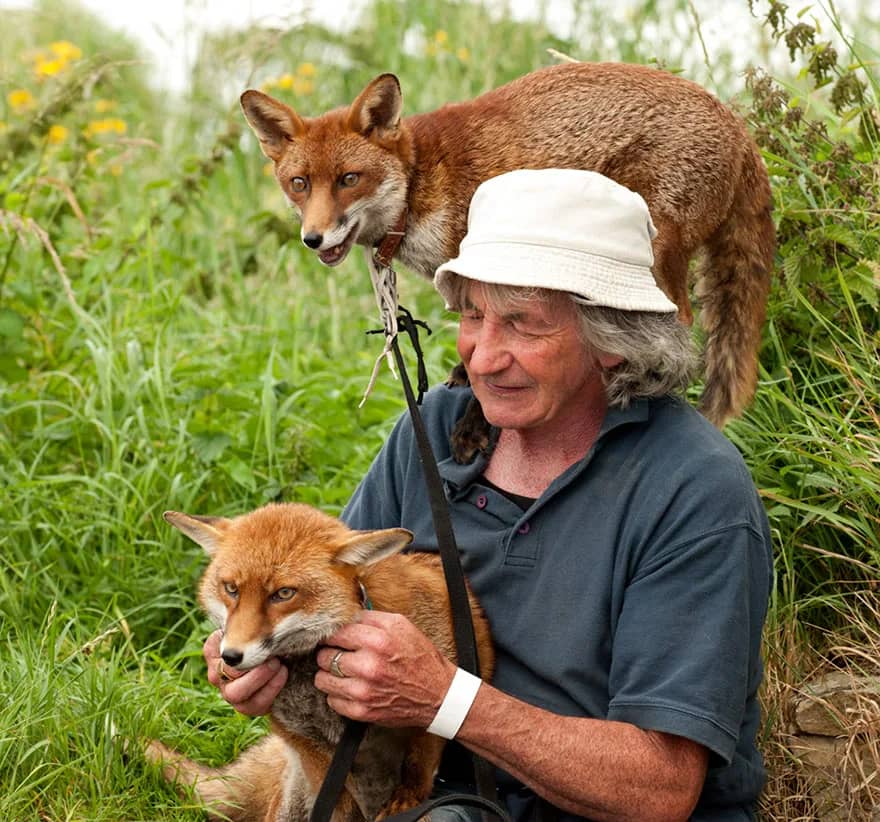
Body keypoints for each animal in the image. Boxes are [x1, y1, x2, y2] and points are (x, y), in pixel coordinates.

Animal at [145, 502, 494, 822]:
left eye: (284, 593)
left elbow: (419, 764)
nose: (229, 657)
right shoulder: (303, 740)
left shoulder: (436, 697)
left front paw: (406, 803)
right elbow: (334, 805)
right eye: (231, 589)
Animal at [240, 61, 775, 456]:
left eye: (349, 179)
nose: (312, 238)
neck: (420, 184)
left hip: (654, 251)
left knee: (675, 325)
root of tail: (741, 128)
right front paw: (465, 382)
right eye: (299, 184)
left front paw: (475, 426)